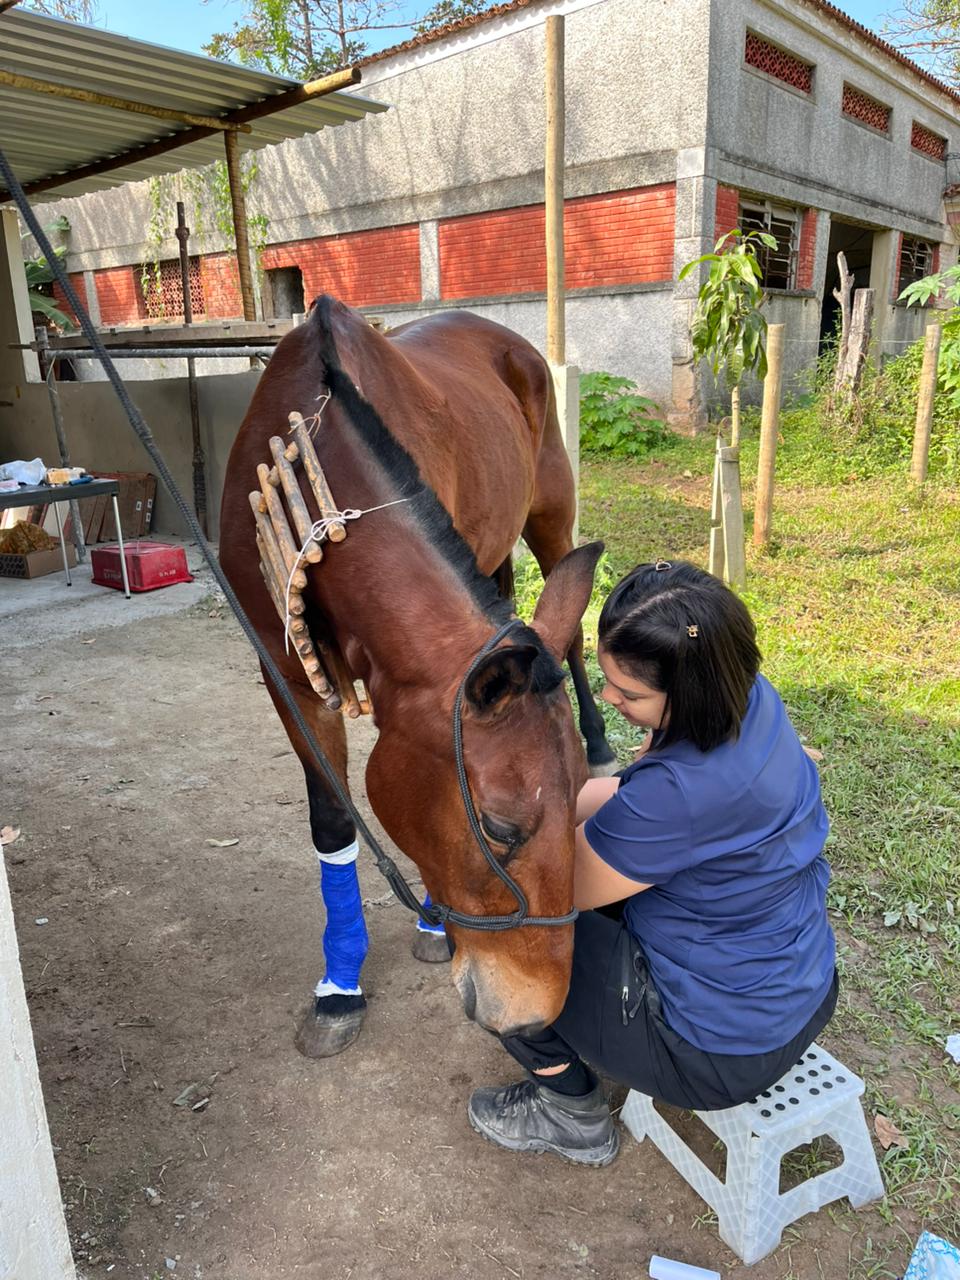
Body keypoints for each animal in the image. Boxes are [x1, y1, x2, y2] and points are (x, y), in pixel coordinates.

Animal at [219, 295, 613, 1058]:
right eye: (498, 829)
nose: (536, 1016)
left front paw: (432, 919)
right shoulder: (284, 674)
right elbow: (333, 818)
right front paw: (340, 988)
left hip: (551, 516)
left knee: (572, 625)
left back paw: (605, 737)